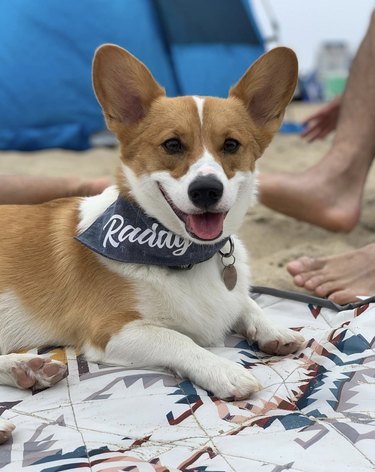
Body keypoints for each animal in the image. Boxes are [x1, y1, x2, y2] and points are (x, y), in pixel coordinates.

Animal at [0, 44, 304, 442]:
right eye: (172, 145)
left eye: (231, 145)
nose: (206, 190)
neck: (179, 252)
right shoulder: (113, 332)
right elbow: (178, 339)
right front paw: (224, 370)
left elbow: (246, 303)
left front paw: (273, 330)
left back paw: (27, 369)